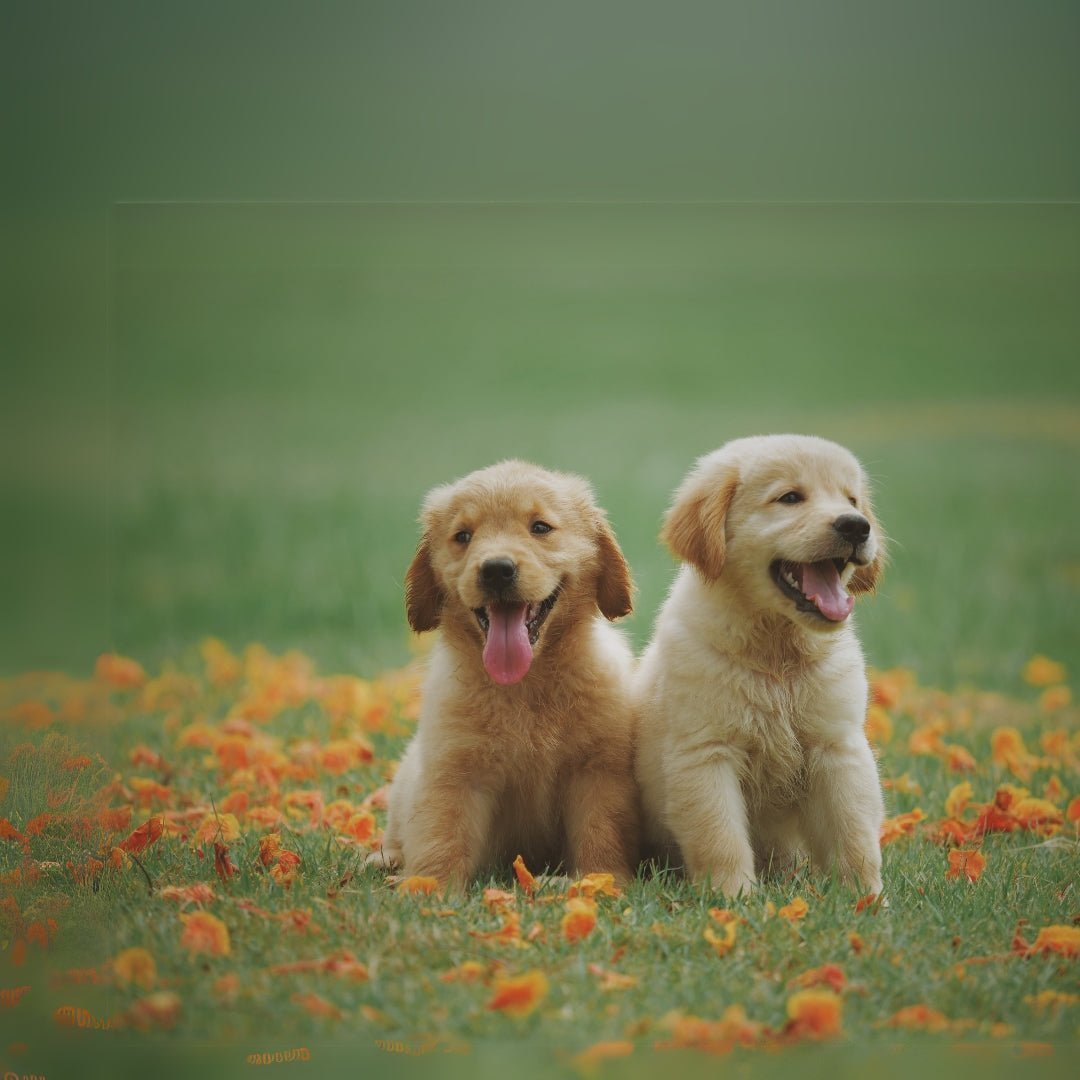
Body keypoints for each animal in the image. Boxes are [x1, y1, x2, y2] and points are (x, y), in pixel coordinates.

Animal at [373, 460, 635, 889]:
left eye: (540, 527)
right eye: (463, 536)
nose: (496, 570)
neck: (525, 685)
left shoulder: (597, 770)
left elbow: (601, 831)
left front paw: (600, 880)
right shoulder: (454, 770)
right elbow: (442, 833)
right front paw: (428, 887)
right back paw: (386, 860)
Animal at [635, 429, 881, 894]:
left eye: (852, 500)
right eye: (790, 498)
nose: (857, 526)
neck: (776, 652)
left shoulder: (837, 748)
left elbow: (855, 833)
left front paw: (867, 898)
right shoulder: (706, 754)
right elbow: (721, 837)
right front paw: (734, 898)